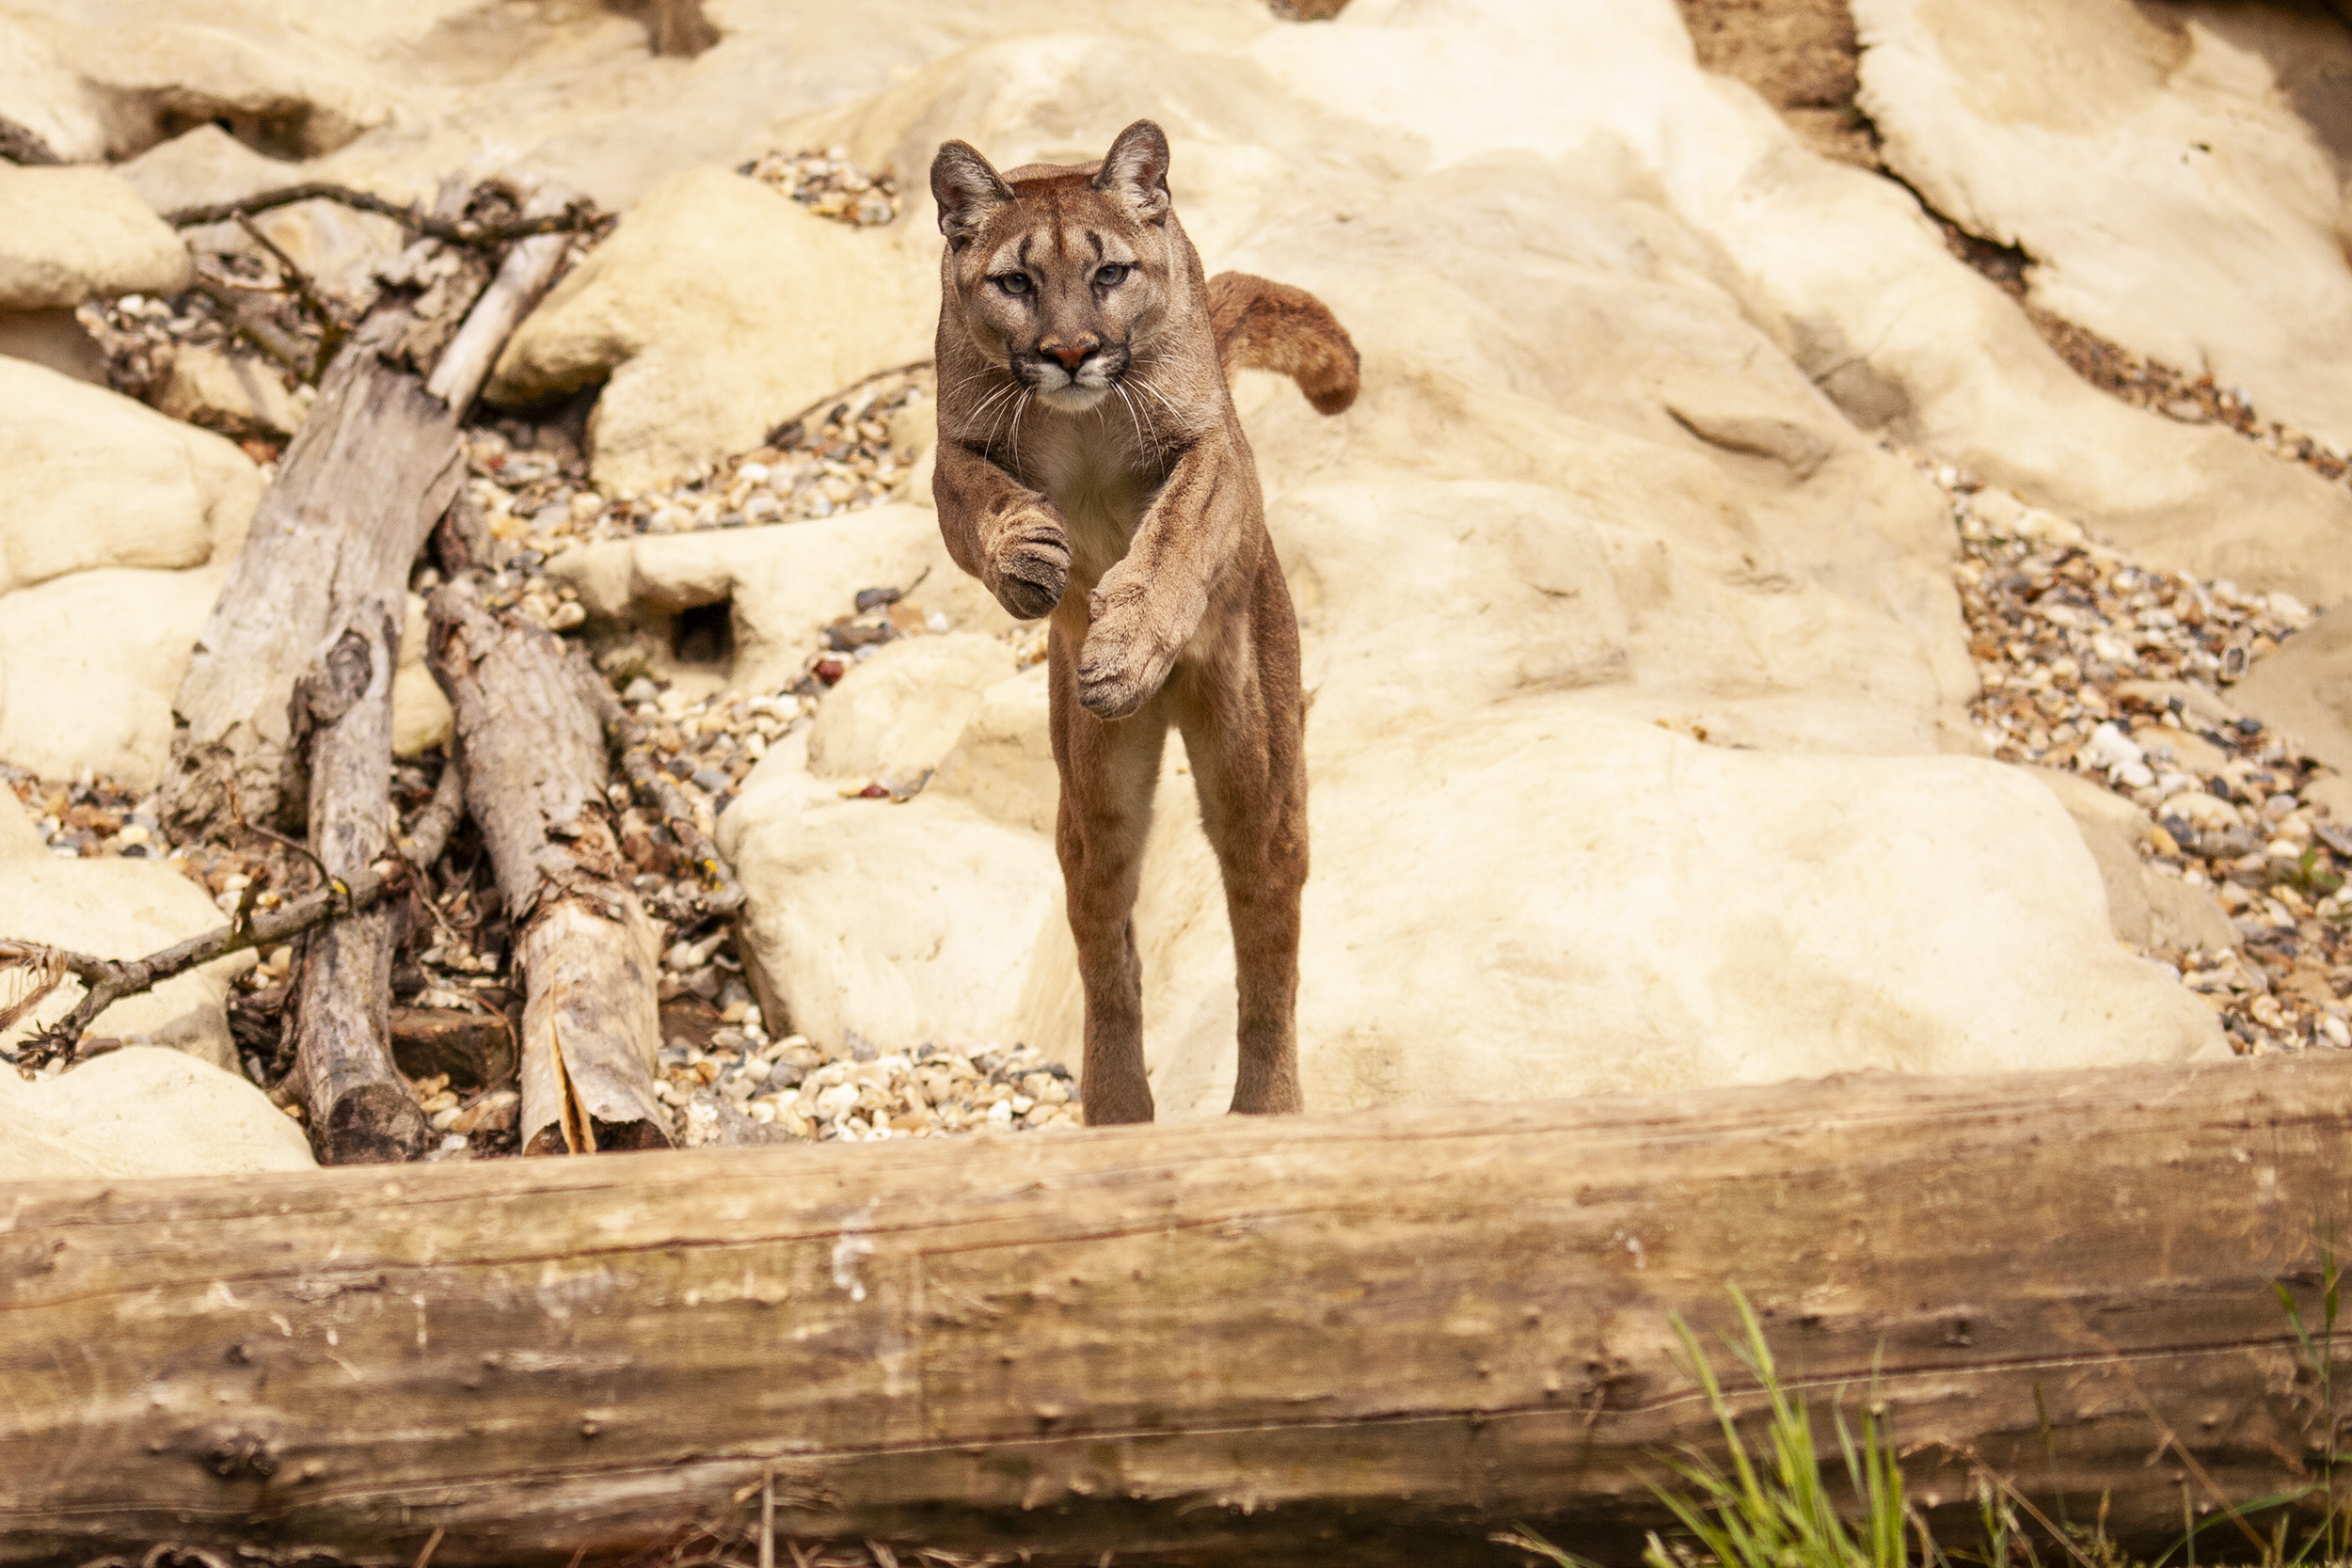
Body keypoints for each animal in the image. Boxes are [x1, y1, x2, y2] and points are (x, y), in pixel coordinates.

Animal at [928, 119, 1359, 1124]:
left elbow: (1171, 536)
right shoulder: (950, 447)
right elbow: (976, 500)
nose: (1071, 351)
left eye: (1110, 271)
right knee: (1107, 948)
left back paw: (1265, 1107)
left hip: (1259, 774)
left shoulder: (1212, 444)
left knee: (1267, 943)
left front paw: (1126, 647)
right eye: (1016, 282)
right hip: (1094, 797)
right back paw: (1119, 1107)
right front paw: (1027, 557)